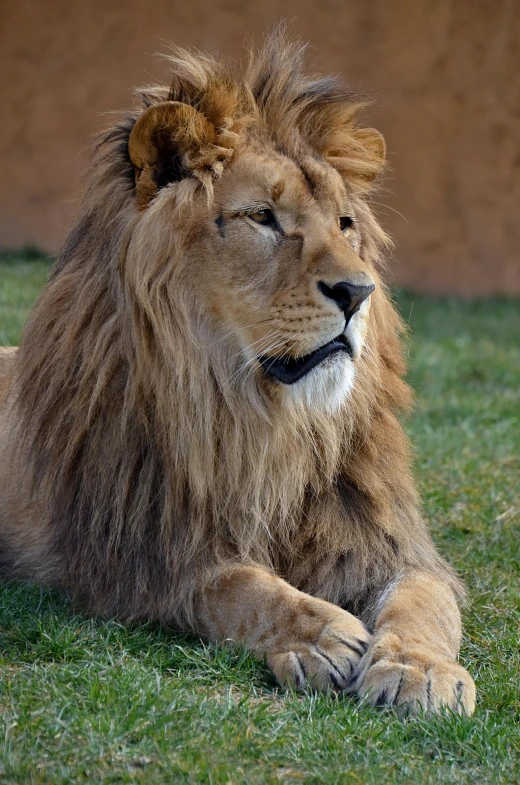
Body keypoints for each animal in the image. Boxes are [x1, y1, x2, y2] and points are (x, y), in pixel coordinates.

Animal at [0, 33, 476, 712]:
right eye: (263, 218)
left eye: (345, 224)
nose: (358, 292)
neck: (259, 417)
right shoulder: (140, 554)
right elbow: (235, 587)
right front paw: (321, 636)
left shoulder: (386, 542)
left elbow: (424, 601)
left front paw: (419, 671)